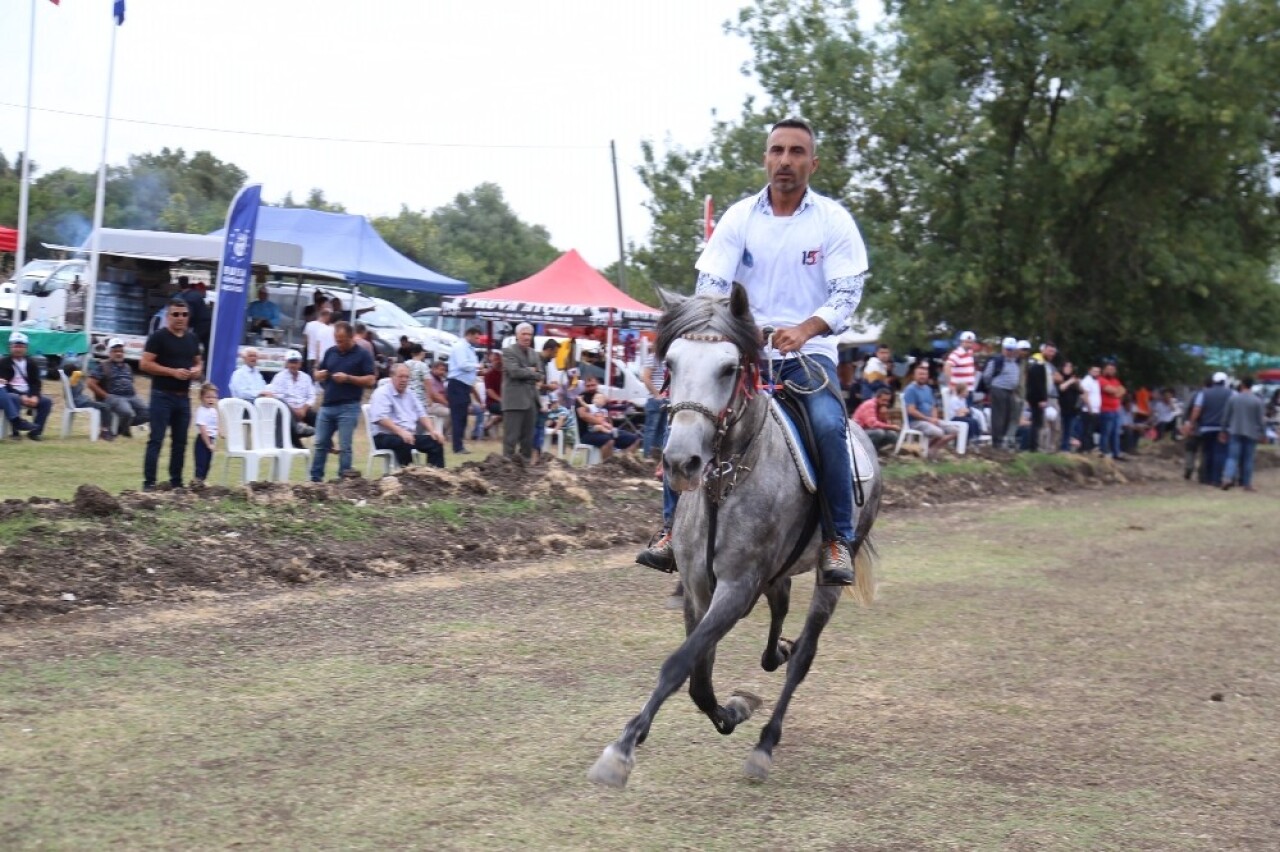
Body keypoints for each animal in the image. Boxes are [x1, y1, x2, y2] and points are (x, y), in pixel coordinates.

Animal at [586, 284, 880, 782]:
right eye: (672, 364)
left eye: (728, 368)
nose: (681, 461)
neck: (723, 486)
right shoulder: (699, 588)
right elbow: (698, 679)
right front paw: (733, 709)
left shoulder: (737, 587)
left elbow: (679, 664)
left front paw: (621, 750)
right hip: (776, 574)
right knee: (780, 612)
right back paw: (777, 651)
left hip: (829, 574)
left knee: (805, 657)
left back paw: (766, 741)